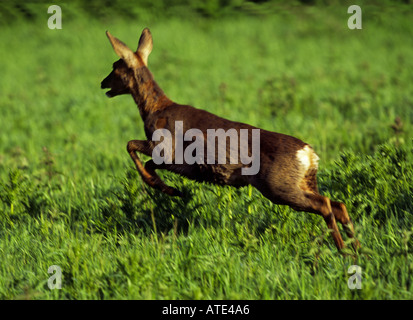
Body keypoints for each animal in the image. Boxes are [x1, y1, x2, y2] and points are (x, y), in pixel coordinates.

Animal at [100, 27, 358, 251]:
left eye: (115, 66)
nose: (102, 83)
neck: (155, 109)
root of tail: (309, 154)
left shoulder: (167, 151)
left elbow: (132, 149)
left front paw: (170, 190)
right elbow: (144, 161)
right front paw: (171, 189)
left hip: (279, 185)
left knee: (325, 205)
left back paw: (343, 250)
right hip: (304, 182)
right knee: (338, 204)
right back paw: (357, 249)